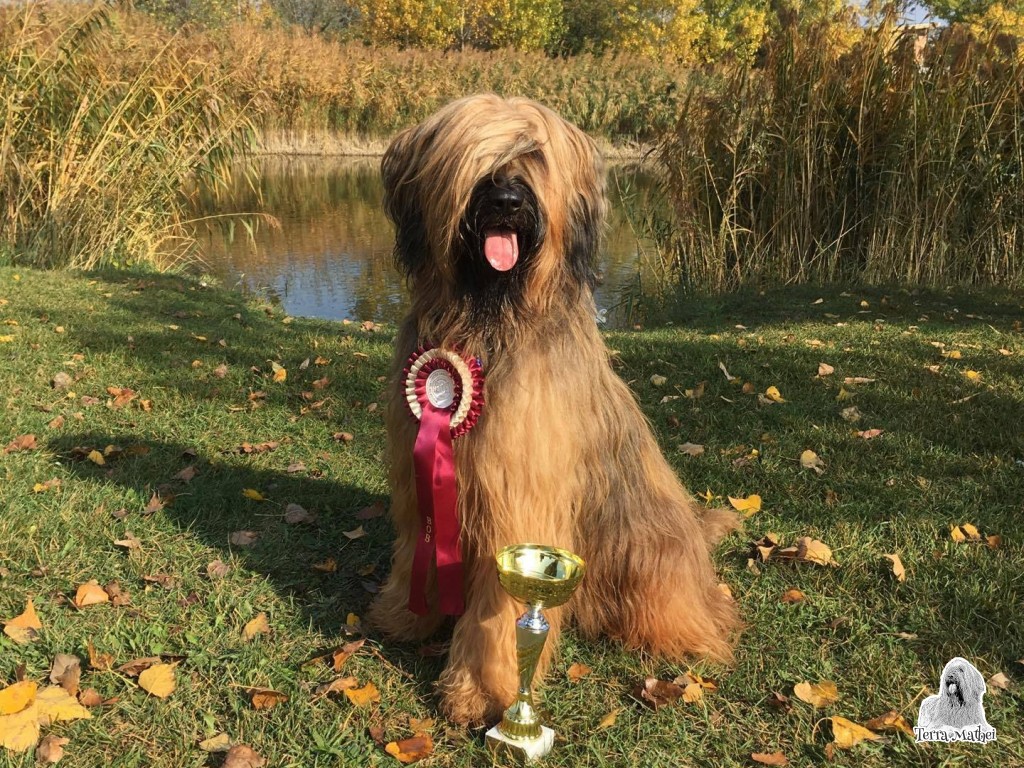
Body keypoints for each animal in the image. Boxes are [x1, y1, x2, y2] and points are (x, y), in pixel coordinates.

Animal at [366, 96, 737, 729]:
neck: (488, 319)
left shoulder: (518, 498)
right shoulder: (420, 478)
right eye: (477, 153)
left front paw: (479, 691)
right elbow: (418, 542)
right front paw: (406, 615)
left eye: (534, 155)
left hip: (646, 550)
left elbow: (499, 608)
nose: (507, 202)